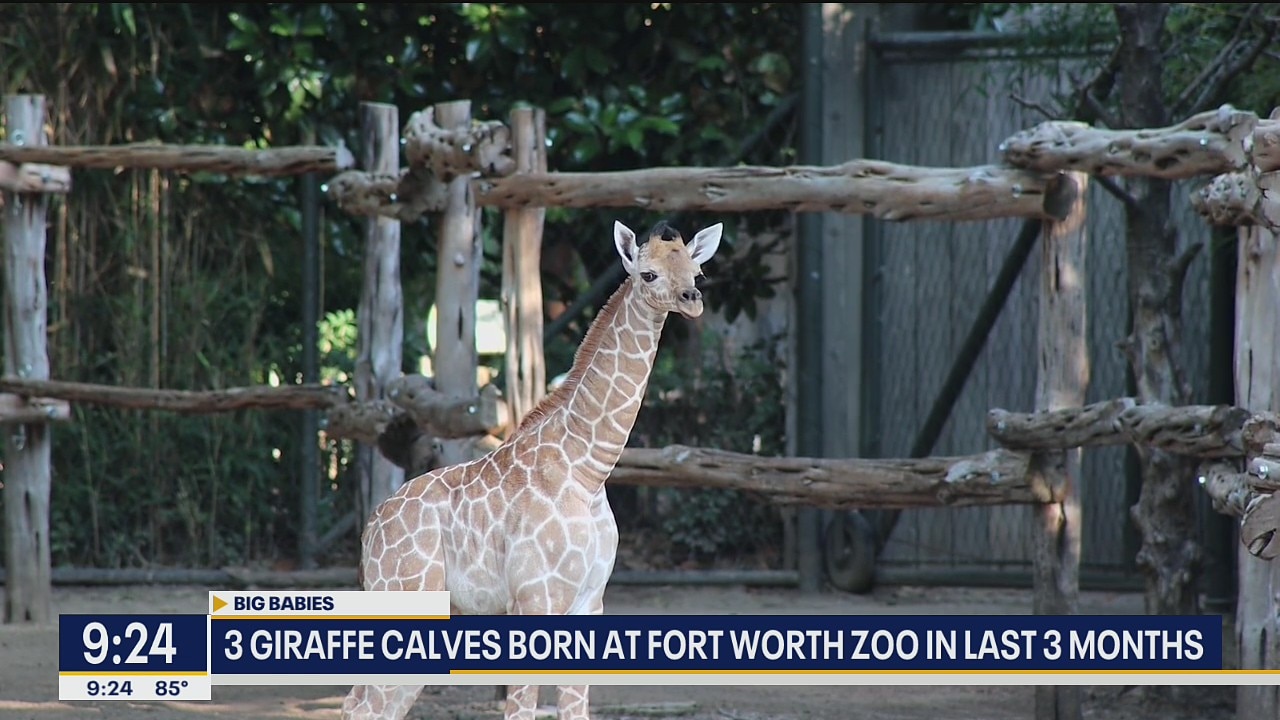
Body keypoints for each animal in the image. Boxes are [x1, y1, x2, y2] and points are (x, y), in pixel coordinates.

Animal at [342, 218, 724, 720]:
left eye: (697, 273)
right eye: (648, 274)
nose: (691, 300)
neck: (587, 470)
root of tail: (370, 530)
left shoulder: (589, 602)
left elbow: (575, 708)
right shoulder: (533, 599)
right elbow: (521, 707)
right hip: (407, 597)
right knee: (368, 705)